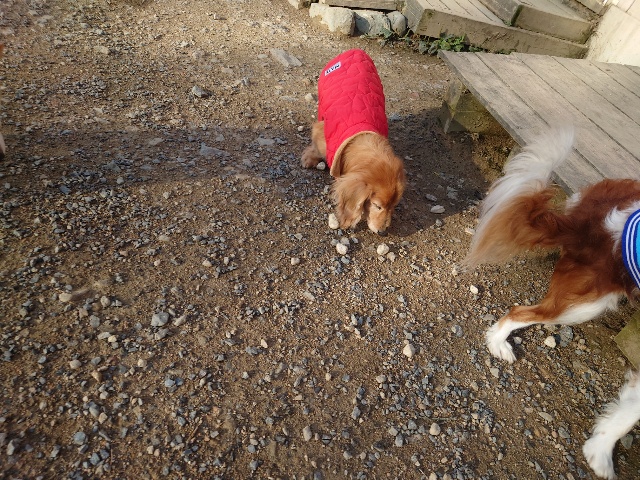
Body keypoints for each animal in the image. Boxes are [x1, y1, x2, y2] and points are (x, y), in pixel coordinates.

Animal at [301, 49, 405, 235]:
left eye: (394, 206)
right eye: (377, 206)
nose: (383, 232)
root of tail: (354, 50)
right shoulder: (321, 133)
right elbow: (316, 147)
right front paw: (309, 159)